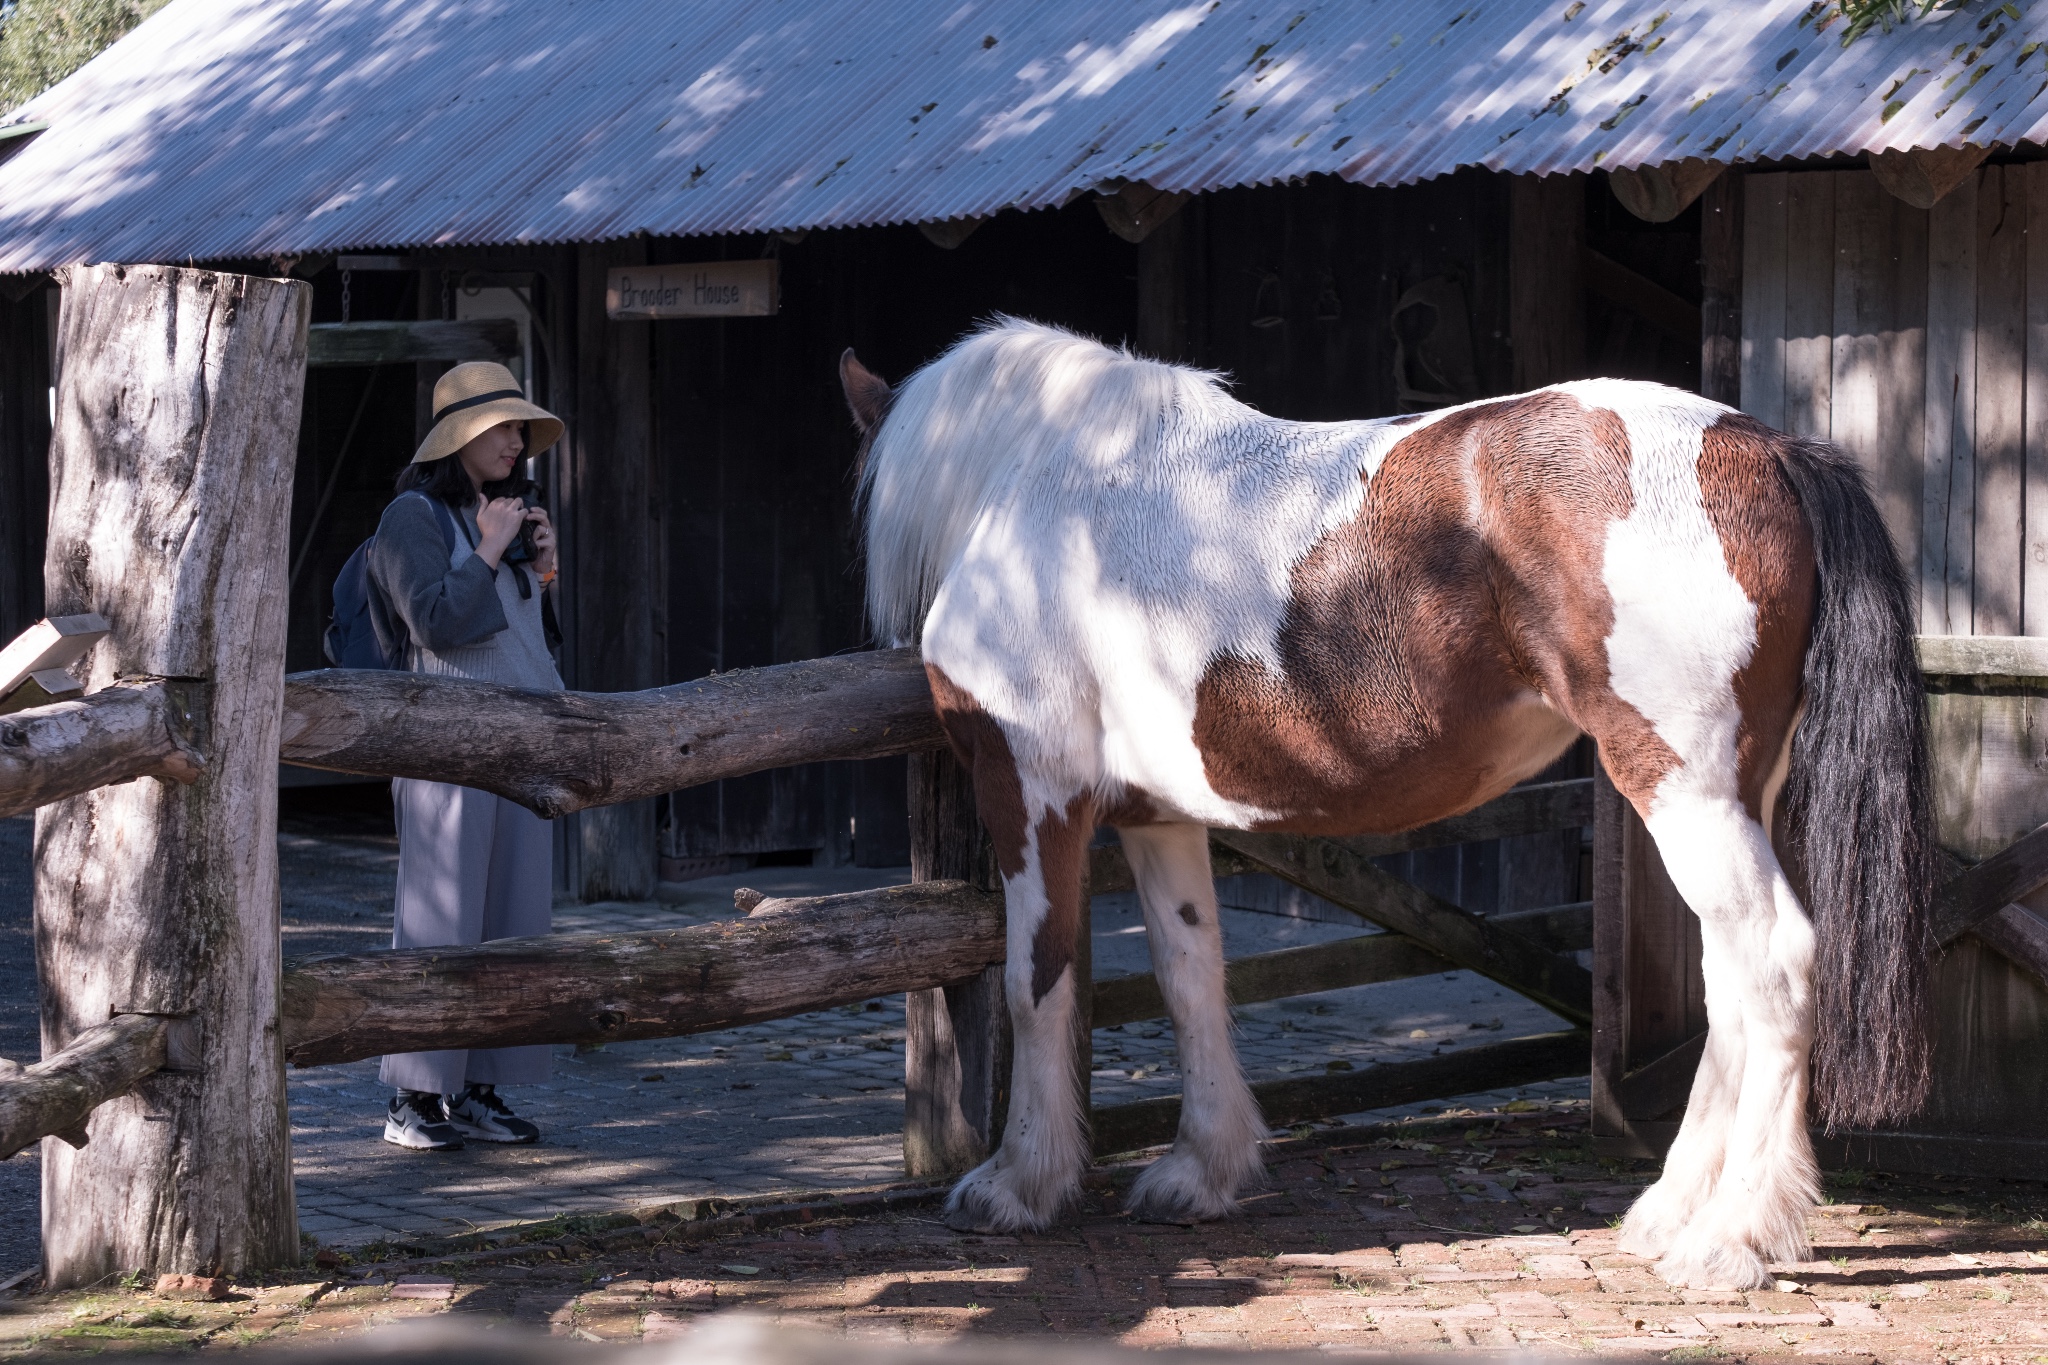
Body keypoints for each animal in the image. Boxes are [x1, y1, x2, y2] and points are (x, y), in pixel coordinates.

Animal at [835, 317, 1933, 1293]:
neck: (1031, 496)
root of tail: (1767, 449)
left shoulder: (1030, 793)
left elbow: (1038, 981)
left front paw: (1019, 1184)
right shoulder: (1156, 815)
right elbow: (1190, 977)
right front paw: (1201, 1171)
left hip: (1683, 788)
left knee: (1774, 966)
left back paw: (1730, 1243)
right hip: (1731, 795)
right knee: (1727, 983)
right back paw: (1669, 1215)